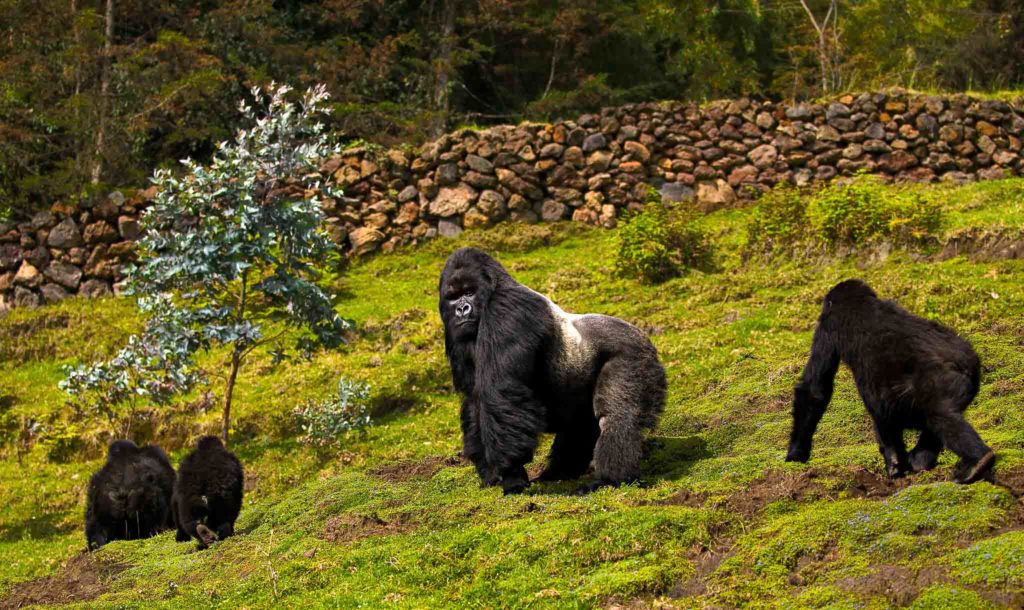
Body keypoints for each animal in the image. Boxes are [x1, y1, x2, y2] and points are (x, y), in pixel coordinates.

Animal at [438, 245, 663, 493]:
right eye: (453, 297)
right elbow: (475, 399)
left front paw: (511, 474)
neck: (495, 287)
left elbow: (501, 392)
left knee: (616, 418)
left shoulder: (506, 308)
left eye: (469, 292)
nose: (462, 309)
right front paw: (491, 473)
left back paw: (610, 479)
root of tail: (643, 335)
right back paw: (559, 472)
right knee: (580, 424)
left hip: (634, 355)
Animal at [782, 278, 991, 483]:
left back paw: (975, 461)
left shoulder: (827, 327)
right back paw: (922, 459)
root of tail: (962, 363)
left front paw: (796, 452)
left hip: (937, 383)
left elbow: (814, 390)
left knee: (936, 415)